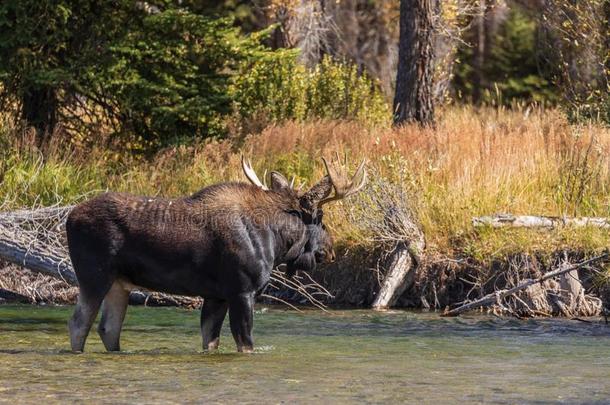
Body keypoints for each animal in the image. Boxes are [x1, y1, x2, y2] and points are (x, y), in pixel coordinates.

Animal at [64, 156, 364, 352]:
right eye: (321, 219)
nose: (331, 251)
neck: (276, 240)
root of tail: (69, 217)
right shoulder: (242, 290)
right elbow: (245, 343)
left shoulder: (216, 295)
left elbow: (210, 341)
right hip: (94, 276)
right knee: (79, 324)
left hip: (120, 283)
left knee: (108, 329)